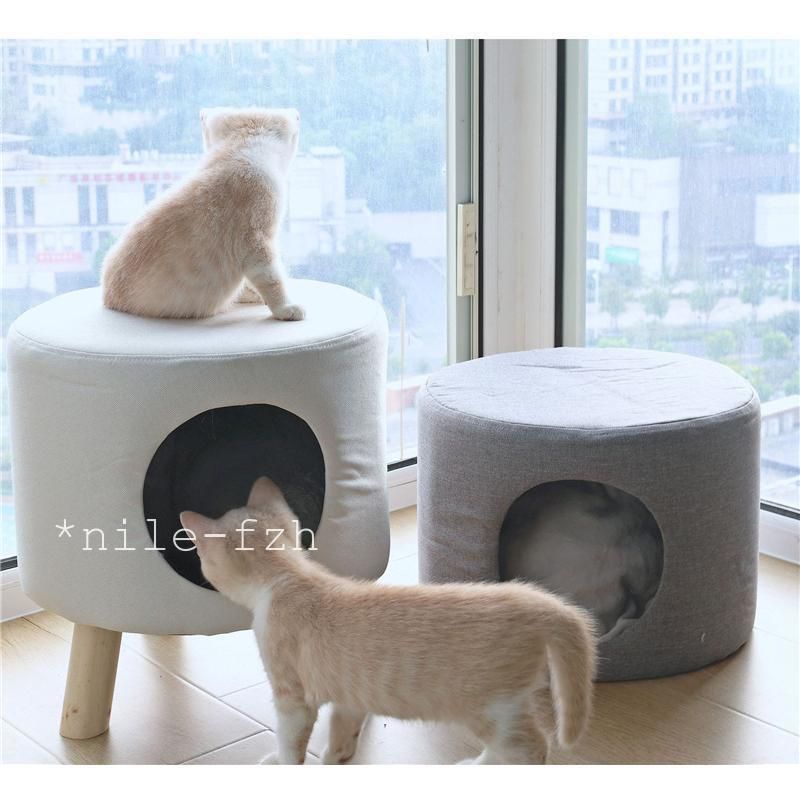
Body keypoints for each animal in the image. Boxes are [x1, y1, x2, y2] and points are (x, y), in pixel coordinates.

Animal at [101, 107, 305, 321]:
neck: (239, 147)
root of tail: (107, 298)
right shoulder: (256, 240)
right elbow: (271, 278)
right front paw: (285, 308)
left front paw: (253, 295)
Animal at [180, 477, 597, 765]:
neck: (288, 577)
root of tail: (533, 599)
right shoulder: (350, 693)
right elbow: (343, 730)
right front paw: (335, 757)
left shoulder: (292, 697)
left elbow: (289, 742)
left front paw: (281, 763)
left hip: (491, 707)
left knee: (531, 748)